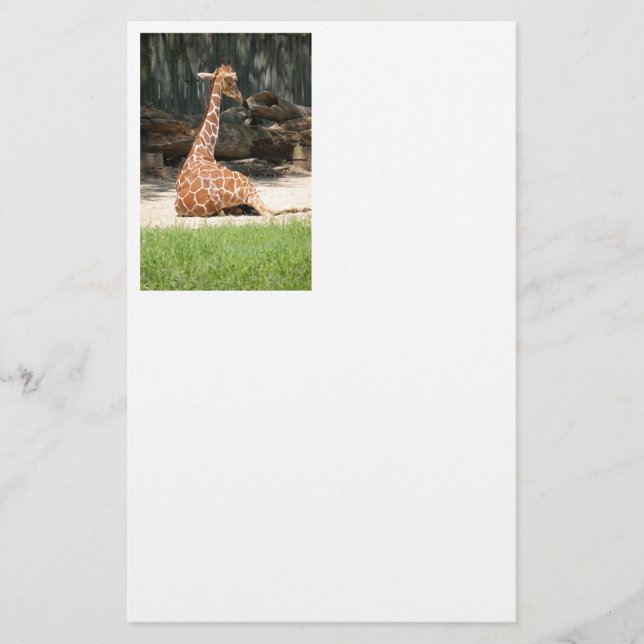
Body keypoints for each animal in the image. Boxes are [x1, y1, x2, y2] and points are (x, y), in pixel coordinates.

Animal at [175, 63, 273, 217]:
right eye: (233, 80)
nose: (242, 99)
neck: (203, 149)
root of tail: (214, 196)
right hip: (246, 184)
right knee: (269, 212)